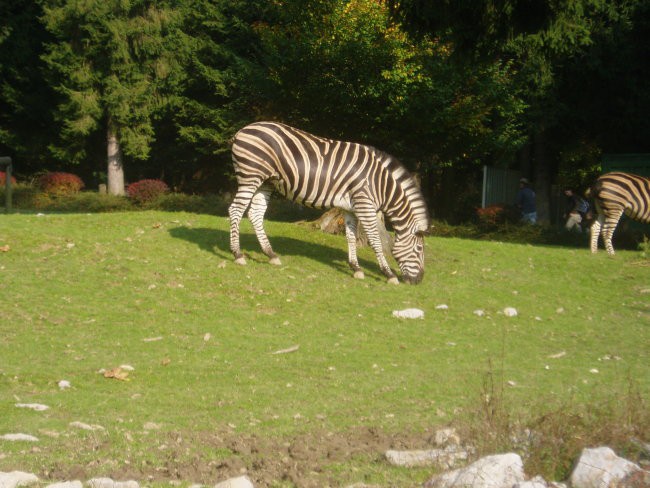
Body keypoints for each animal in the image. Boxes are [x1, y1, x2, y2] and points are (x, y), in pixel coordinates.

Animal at [225, 120, 428, 284]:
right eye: (419, 249)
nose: (419, 281)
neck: (380, 184)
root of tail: (242, 130)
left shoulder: (350, 208)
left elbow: (351, 237)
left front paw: (356, 268)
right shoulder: (365, 204)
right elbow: (375, 240)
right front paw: (389, 274)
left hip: (266, 181)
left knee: (255, 213)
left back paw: (270, 254)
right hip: (251, 175)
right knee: (235, 210)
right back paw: (238, 254)